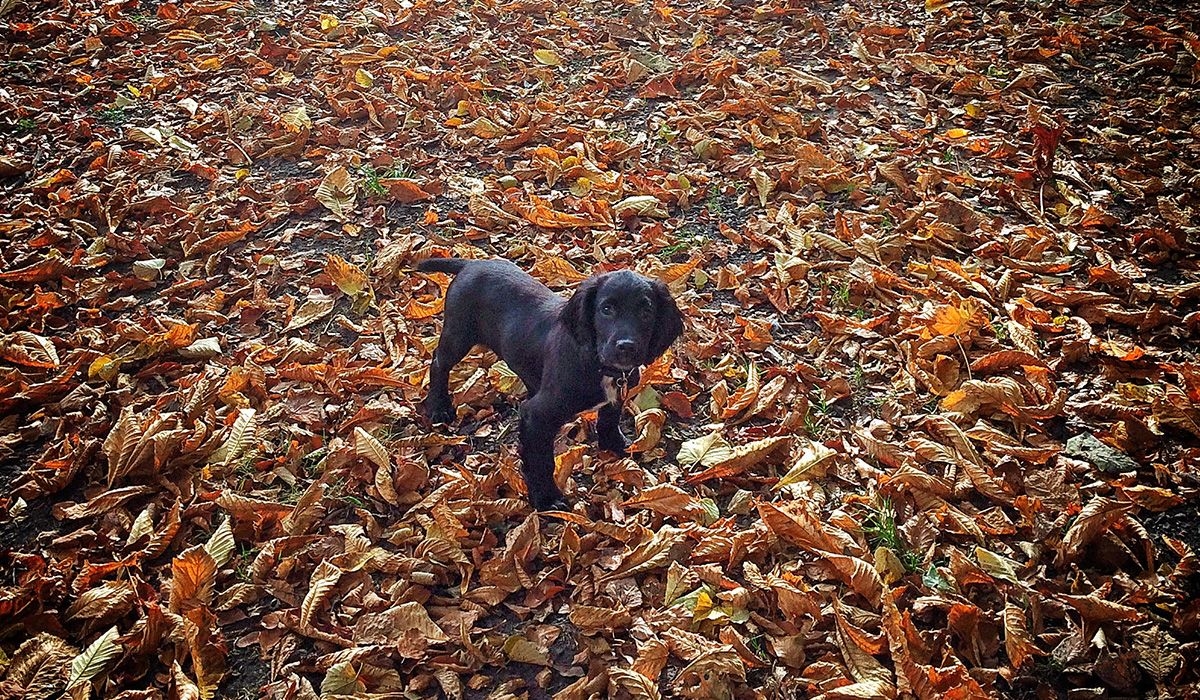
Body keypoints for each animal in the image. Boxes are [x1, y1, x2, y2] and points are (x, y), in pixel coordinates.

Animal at [420, 256, 686, 509]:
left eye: (646, 313)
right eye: (606, 309)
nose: (626, 347)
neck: (598, 365)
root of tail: (471, 264)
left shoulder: (618, 392)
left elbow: (610, 418)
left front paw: (615, 445)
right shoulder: (537, 416)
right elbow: (540, 460)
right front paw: (546, 498)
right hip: (458, 333)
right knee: (438, 363)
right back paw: (439, 407)